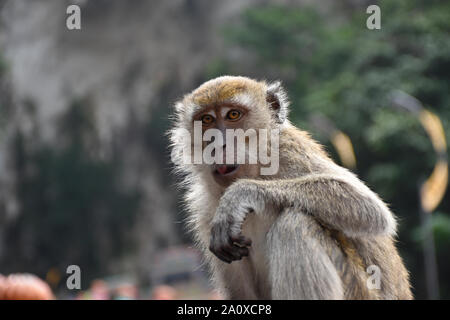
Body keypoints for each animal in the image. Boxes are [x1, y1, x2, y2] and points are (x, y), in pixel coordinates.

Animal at [169, 75, 412, 300]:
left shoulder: (289, 152)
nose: (218, 144)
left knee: (295, 223)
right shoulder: (204, 209)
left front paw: (240, 194)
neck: (259, 168)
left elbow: (369, 209)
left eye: (233, 115)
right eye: (206, 119)